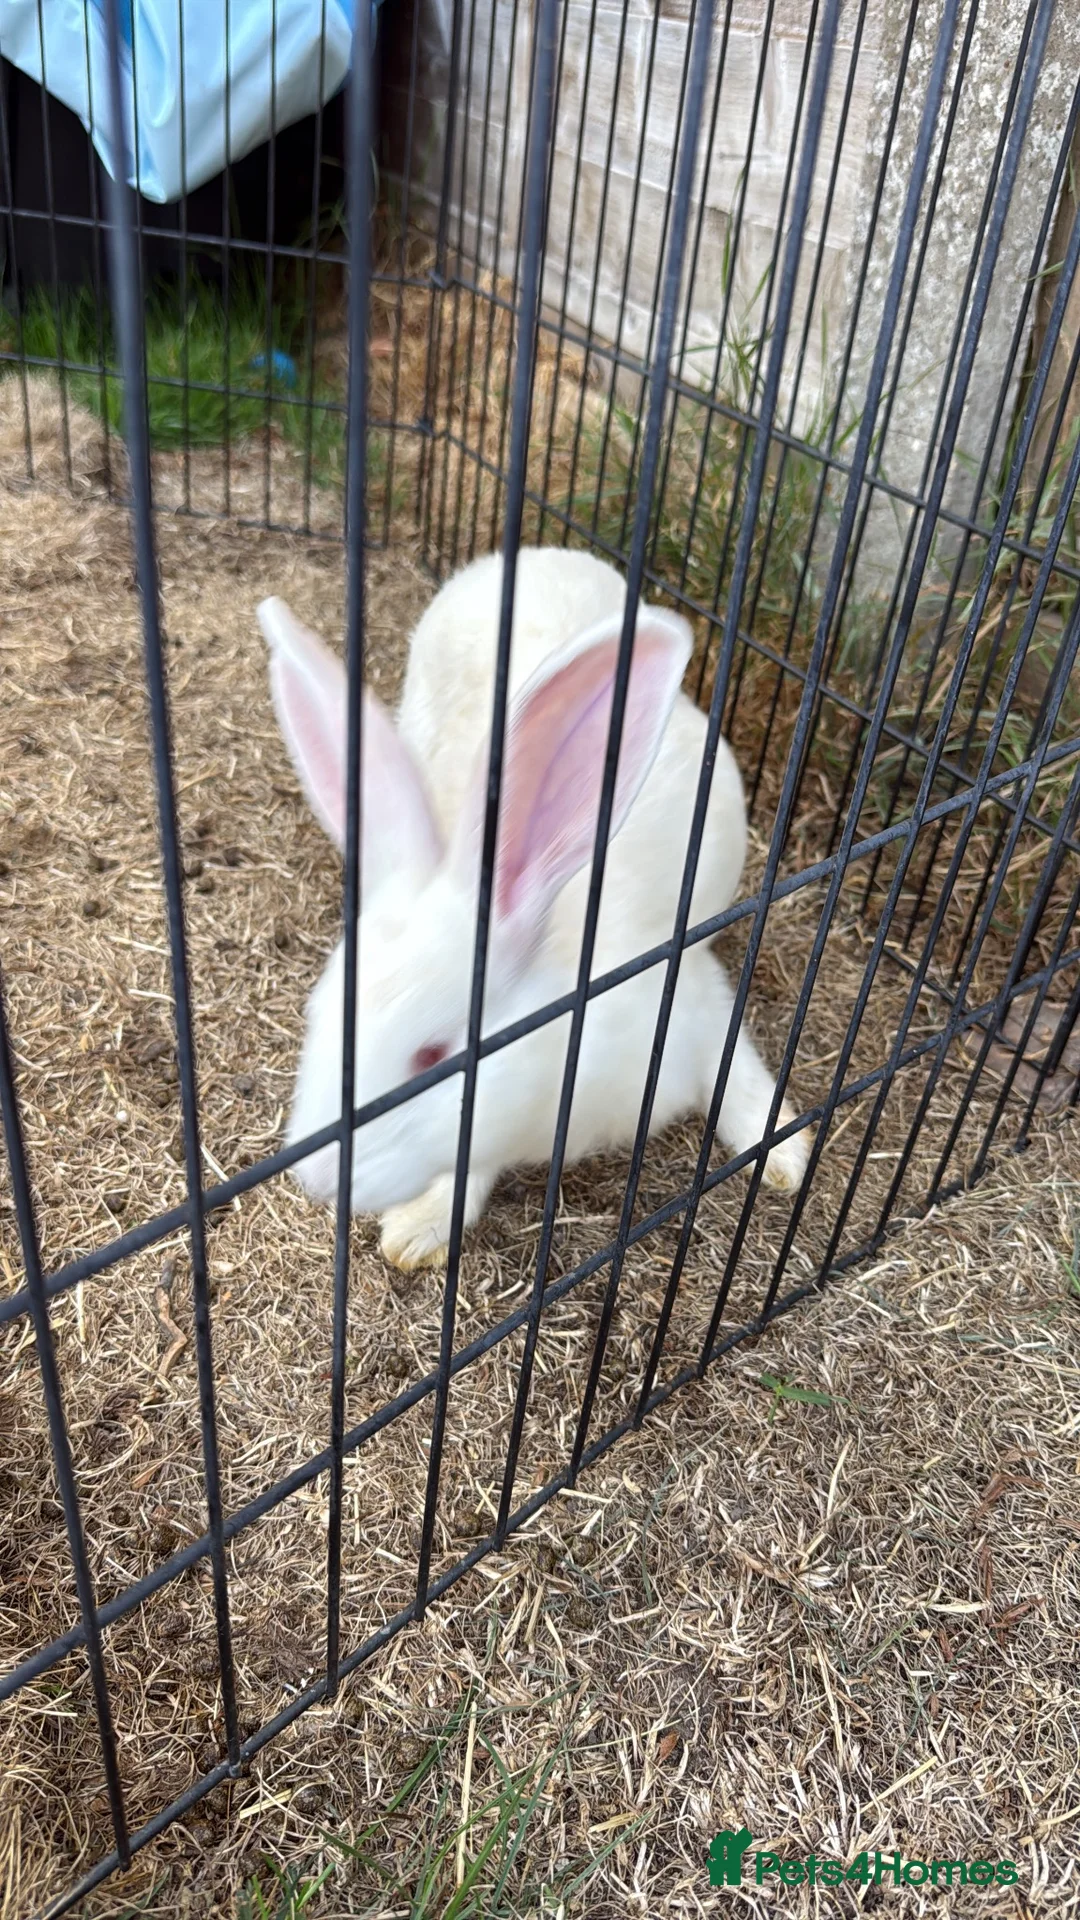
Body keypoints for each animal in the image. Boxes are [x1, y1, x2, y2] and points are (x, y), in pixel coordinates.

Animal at [258, 547, 810, 1271]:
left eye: (433, 1056)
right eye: (317, 1018)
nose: (318, 1178)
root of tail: (535, 554)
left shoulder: (691, 991)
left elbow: (735, 1066)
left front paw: (786, 1154)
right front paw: (418, 1229)